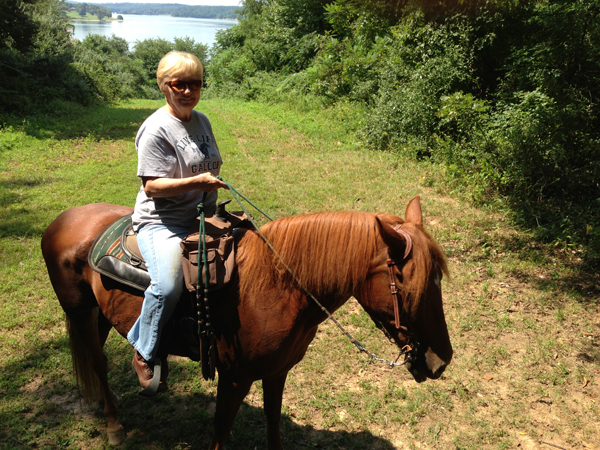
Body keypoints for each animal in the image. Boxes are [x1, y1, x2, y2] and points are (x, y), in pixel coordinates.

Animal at [41, 198, 450, 450]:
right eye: (413, 290)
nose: (440, 361)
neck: (277, 287)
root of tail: (61, 220)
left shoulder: (276, 371)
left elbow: (272, 420)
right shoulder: (234, 377)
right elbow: (222, 428)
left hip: (100, 315)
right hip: (79, 312)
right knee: (98, 363)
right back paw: (114, 425)